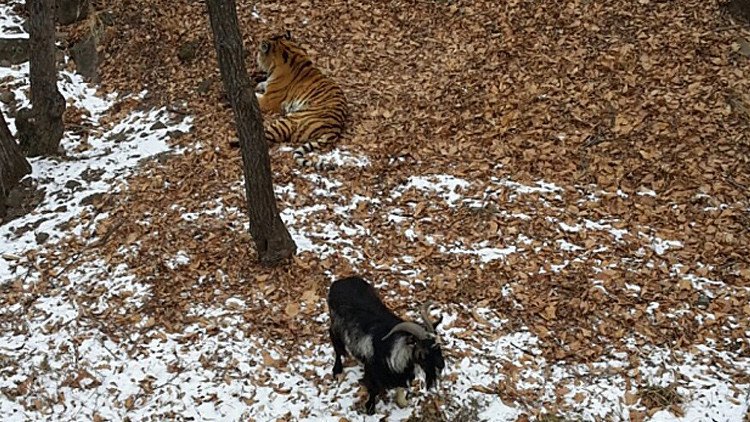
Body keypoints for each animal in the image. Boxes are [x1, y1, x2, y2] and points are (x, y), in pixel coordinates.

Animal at [327, 275, 445, 414]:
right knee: (335, 342)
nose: (441, 365)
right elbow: (373, 390)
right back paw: (337, 370)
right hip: (335, 325)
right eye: (424, 351)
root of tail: (340, 281)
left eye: (438, 345)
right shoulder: (373, 373)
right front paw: (370, 408)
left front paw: (403, 403)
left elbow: (400, 392)